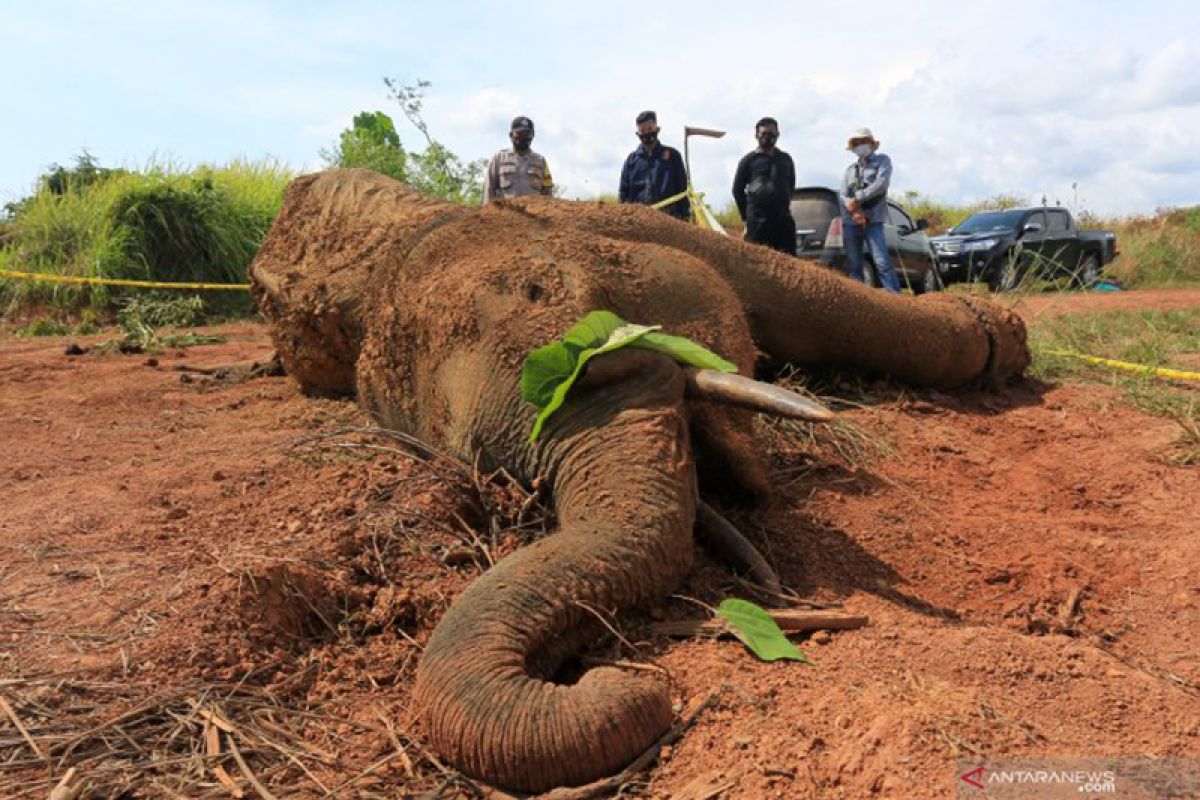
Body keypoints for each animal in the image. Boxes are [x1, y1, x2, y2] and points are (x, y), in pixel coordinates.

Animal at [248, 170, 1027, 796]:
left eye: (547, 291)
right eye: (490, 461)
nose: (636, 687)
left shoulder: (621, 226)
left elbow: (792, 289)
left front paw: (1001, 342)